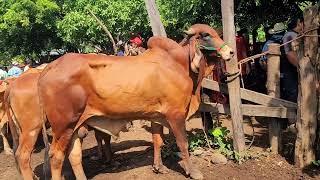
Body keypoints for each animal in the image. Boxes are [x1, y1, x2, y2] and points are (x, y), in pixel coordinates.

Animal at [38, 24, 234, 180]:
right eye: (206, 35)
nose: (230, 52)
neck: (180, 64)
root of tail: (48, 67)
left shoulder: (156, 115)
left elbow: (158, 141)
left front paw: (159, 167)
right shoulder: (175, 114)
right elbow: (183, 143)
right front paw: (192, 171)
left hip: (75, 126)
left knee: (74, 155)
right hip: (63, 126)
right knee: (56, 157)